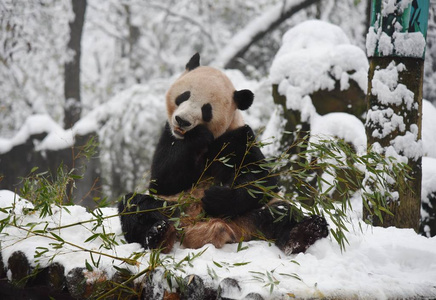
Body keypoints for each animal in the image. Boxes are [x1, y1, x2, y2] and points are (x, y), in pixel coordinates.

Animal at [117, 54, 328, 255]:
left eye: (206, 109)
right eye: (184, 96)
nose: (182, 121)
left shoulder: (239, 138)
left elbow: (262, 178)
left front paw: (215, 197)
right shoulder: (169, 135)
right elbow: (163, 179)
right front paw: (198, 137)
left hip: (251, 213)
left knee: (282, 212)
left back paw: (305, 232)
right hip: (174, 207)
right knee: (136, 205)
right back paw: (158, 234)